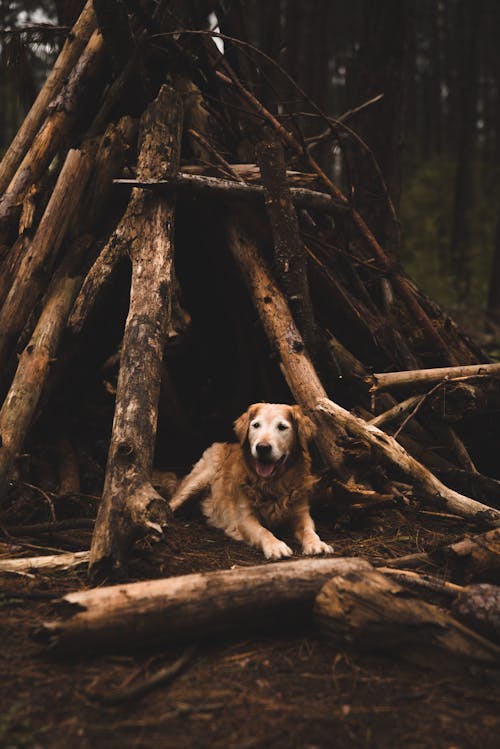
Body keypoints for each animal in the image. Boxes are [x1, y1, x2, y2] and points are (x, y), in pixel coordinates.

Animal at [170, 400, 334, 560]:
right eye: (256, 425)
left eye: (282, 427)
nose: (262, 447)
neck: (273, 484)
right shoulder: (245, 518)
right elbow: (263, 531)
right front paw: (275, 546)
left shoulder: (301, 513)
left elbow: (309, 530)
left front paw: (317, 543)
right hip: (198, 480)